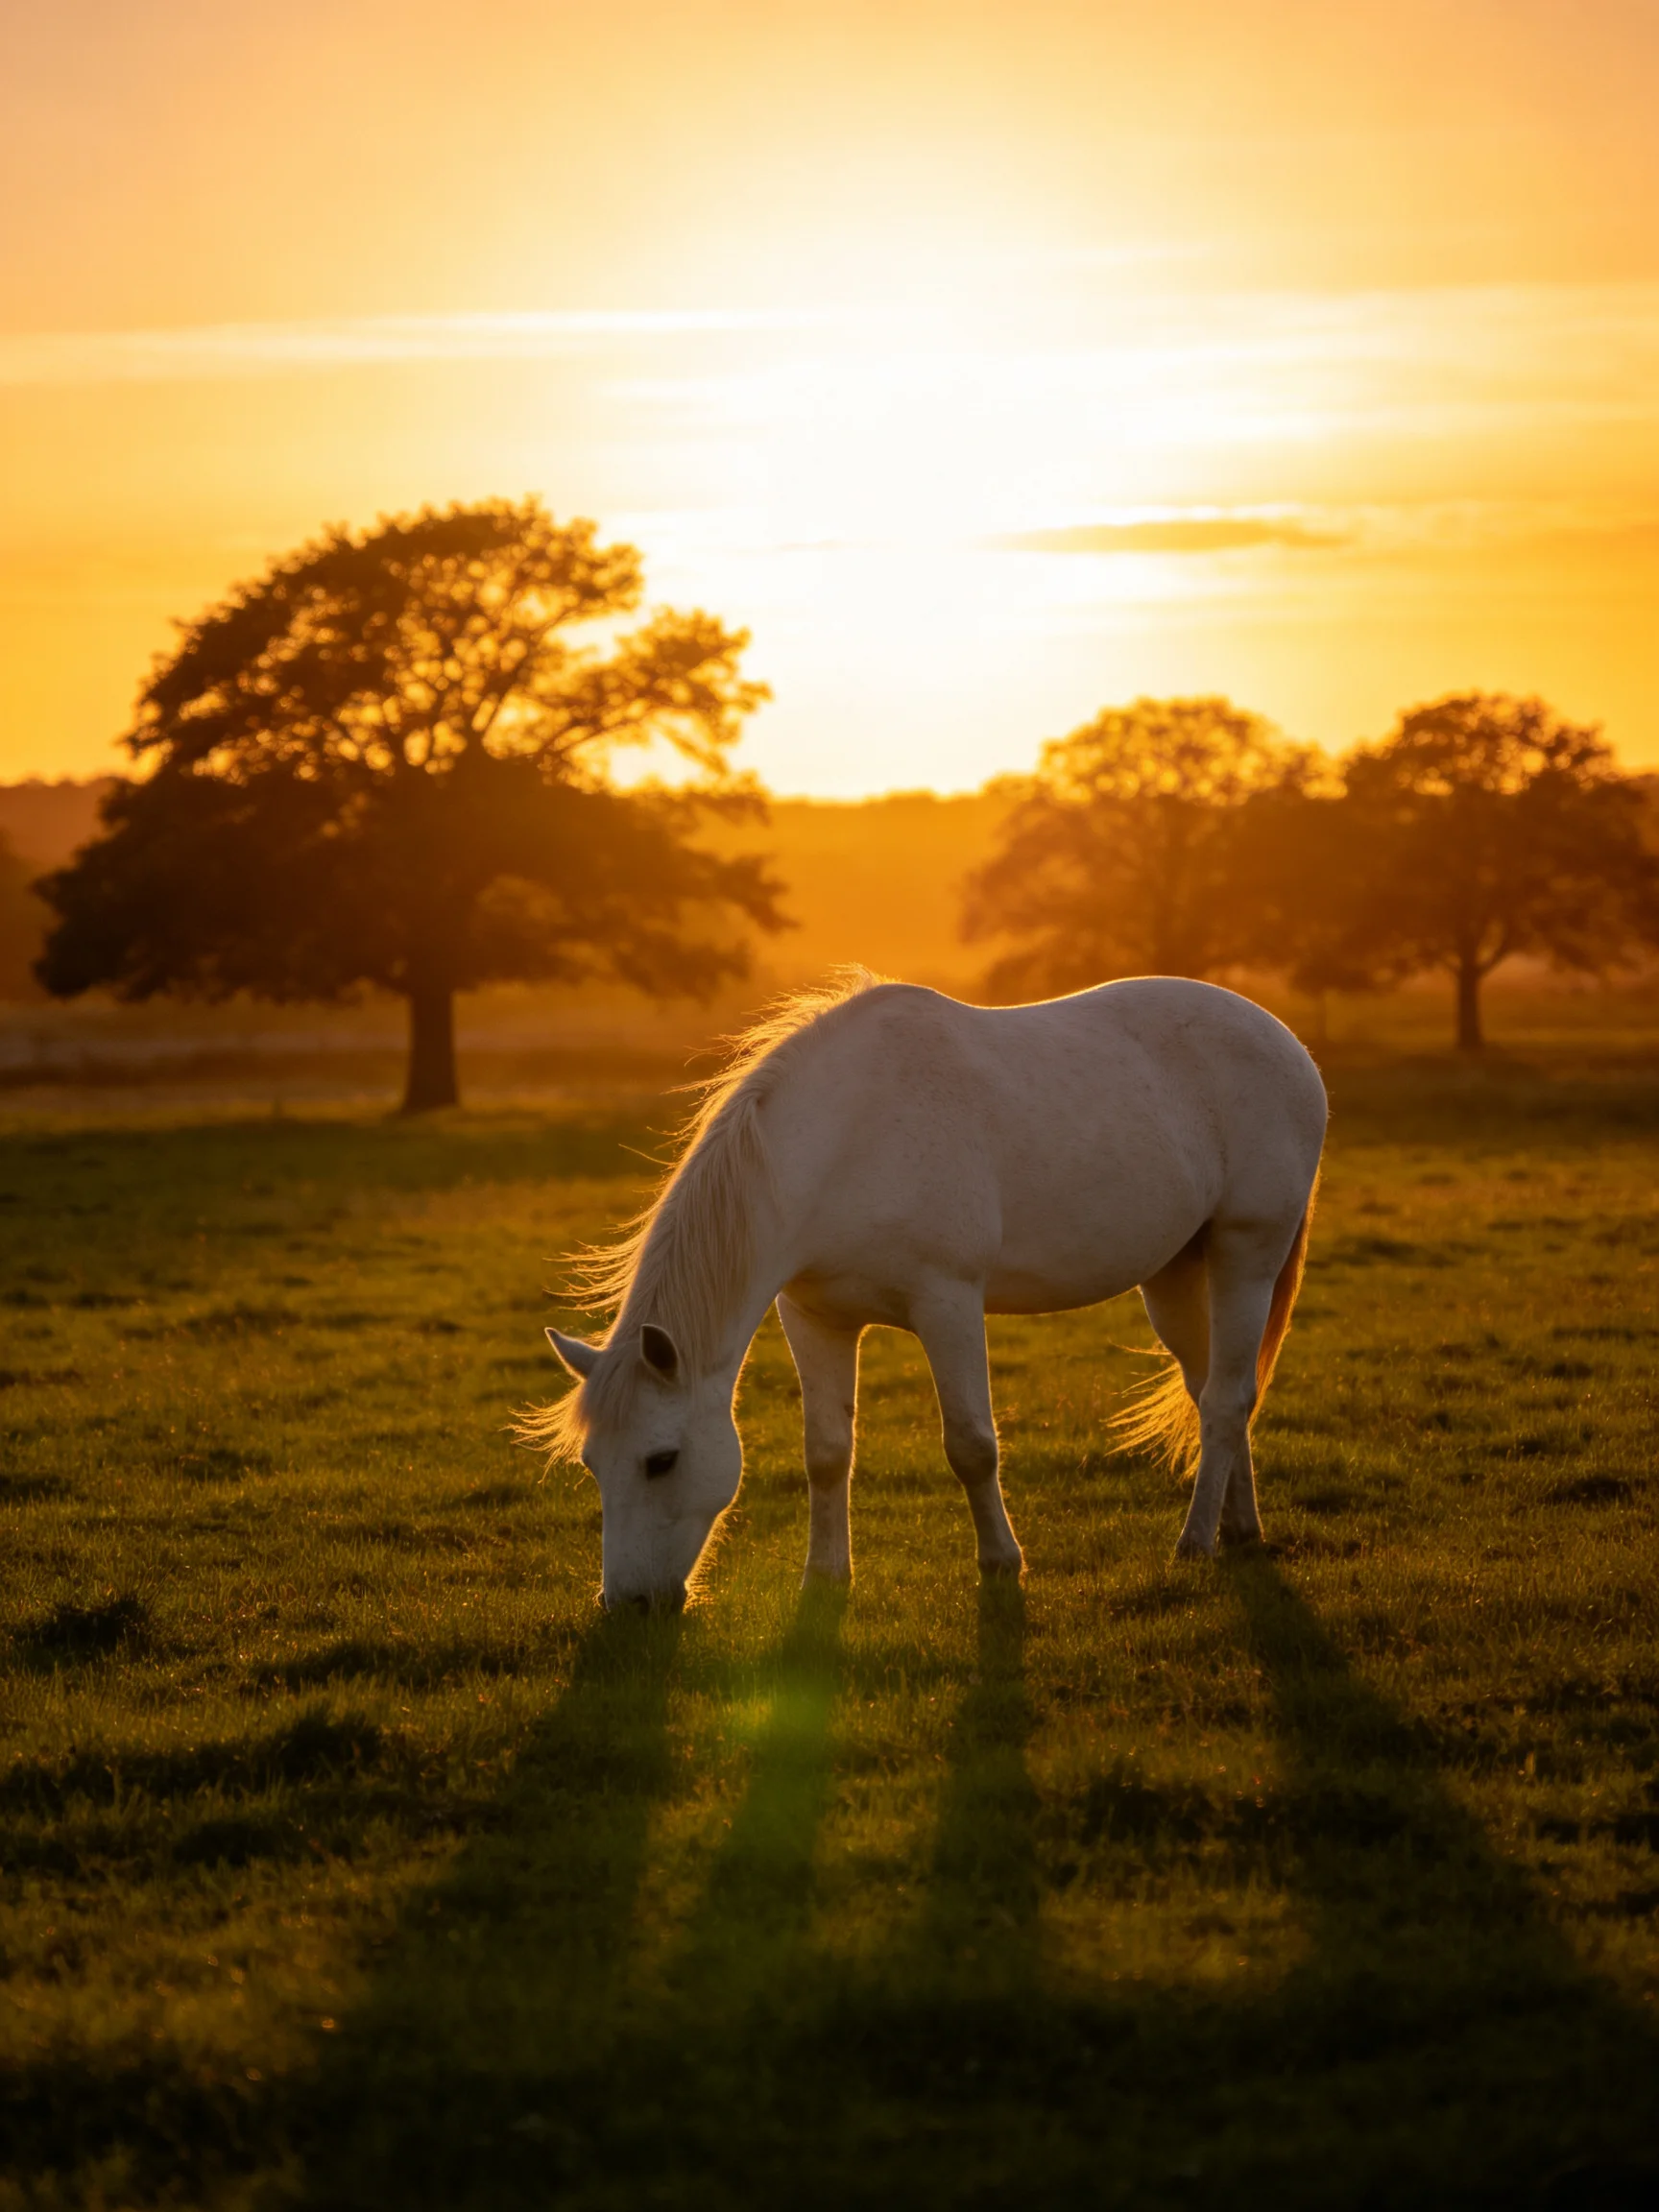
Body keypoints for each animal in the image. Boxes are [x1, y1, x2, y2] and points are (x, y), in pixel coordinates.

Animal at [528, 973, 1326, 1611]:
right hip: (1175, 1272)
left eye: (660, 1460)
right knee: (1214, 1391)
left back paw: (1196, 1541)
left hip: (1246, 1252)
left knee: (1226, 1398)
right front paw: (825, 1577)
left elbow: (972, 1445)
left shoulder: (948, 1304)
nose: (625, 1604)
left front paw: (1002, 1563)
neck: (846, 1142)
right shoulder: (813, 1318)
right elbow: (827, 1451)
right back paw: (1239, 1526)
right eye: (592, 1464)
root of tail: (1287, 1043)